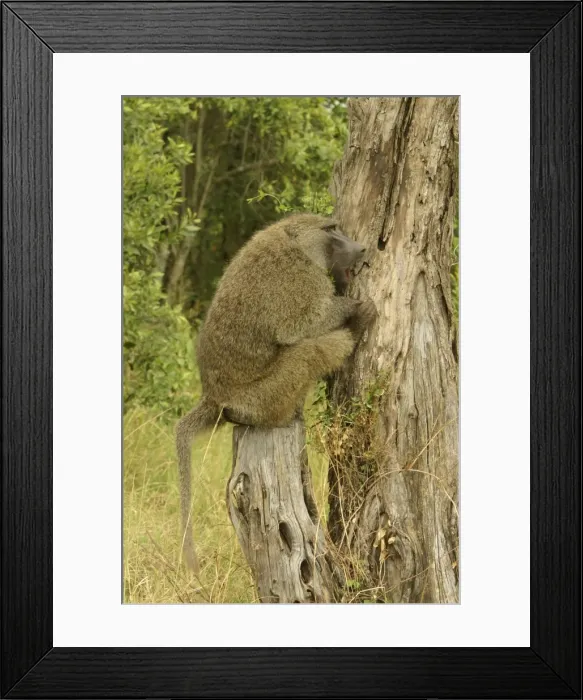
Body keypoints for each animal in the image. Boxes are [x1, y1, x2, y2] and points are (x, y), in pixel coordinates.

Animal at [176, 213, 376, 572]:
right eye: (331, 230)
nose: (360, 247)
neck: (294, 241)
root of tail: (214, 396)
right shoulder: (299, 278)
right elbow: (301, 326)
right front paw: (352, 307)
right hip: (261, 397)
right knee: (306, 350)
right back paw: (352, 331)